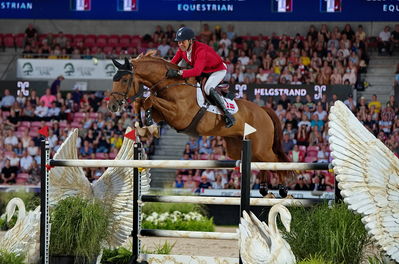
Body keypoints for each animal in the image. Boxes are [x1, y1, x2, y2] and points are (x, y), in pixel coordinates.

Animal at [108, 51, 292, 196]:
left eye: (124, 80)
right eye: (114, 79)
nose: (112, 106)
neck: (170, 83)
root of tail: (263, 110)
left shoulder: (180, 114)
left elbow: (149, 100)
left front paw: (147, 121)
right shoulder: (164, 114)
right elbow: (142, 102)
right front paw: (144, 124)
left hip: (261, 146)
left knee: (275, 160)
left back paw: (282, 188)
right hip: (238, 148)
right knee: (261, 162)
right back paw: (264, 188)